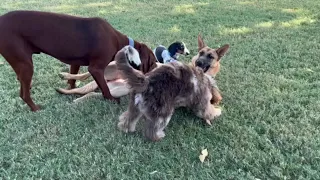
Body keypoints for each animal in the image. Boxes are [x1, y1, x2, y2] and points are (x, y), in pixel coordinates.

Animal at [0, 10, 156, 111]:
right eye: (154, 63)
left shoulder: (75, 62)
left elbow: (72, 80)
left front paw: (69, 89)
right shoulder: (96, 69)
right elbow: (105, 89)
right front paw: (111, 100)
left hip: (21, 64)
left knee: (21, 84)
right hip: (26, 65)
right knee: (24, 94)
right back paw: (36, 108)